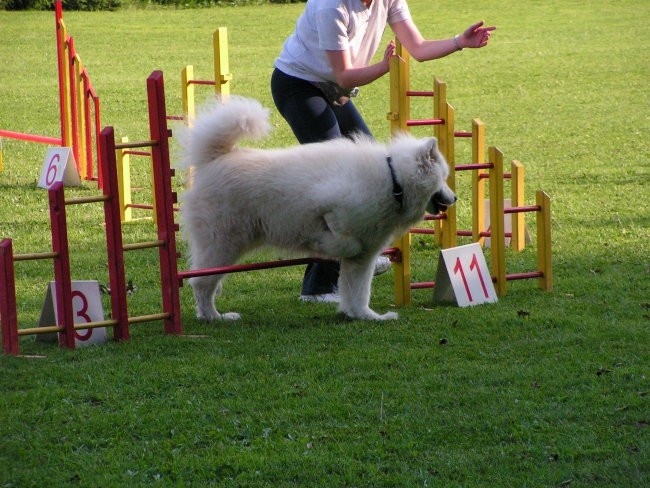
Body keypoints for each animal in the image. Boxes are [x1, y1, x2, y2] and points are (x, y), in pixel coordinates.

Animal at [175, 97, 454, 322]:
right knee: (200, 283)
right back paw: (213, 317)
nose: (455, 198)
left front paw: (365, 316)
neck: (394, 180)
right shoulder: (330, 210)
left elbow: (358, 292)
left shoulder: (364, 258)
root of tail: (214, 160)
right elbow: (345, 244)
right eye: (443, 178)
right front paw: (323, 246)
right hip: (222, 247)